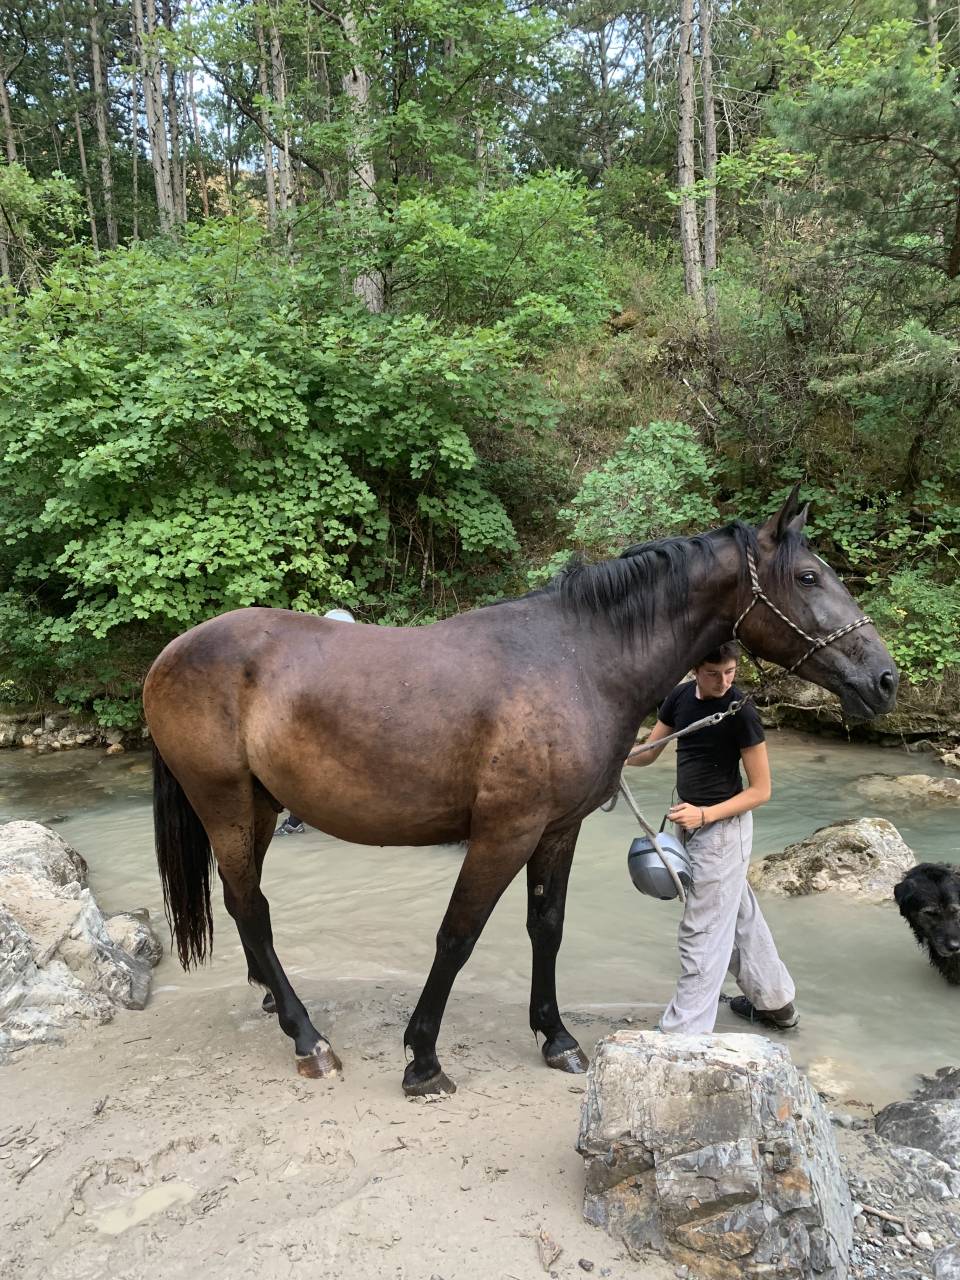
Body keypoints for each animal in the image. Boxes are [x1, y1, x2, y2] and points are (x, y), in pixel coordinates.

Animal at [144, 488, 898, 1094]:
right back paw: (308, 1037)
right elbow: (458, 934)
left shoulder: (557, 830)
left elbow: (547, 927)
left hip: (261, 808)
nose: (884, 678)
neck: (577, 661)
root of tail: (169, 655)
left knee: (247, 903)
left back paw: (276, 1004)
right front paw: (423, 1059)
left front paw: (556, 1037)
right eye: (807, 576)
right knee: (250, 905)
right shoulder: (504, 832)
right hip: (225, 805)